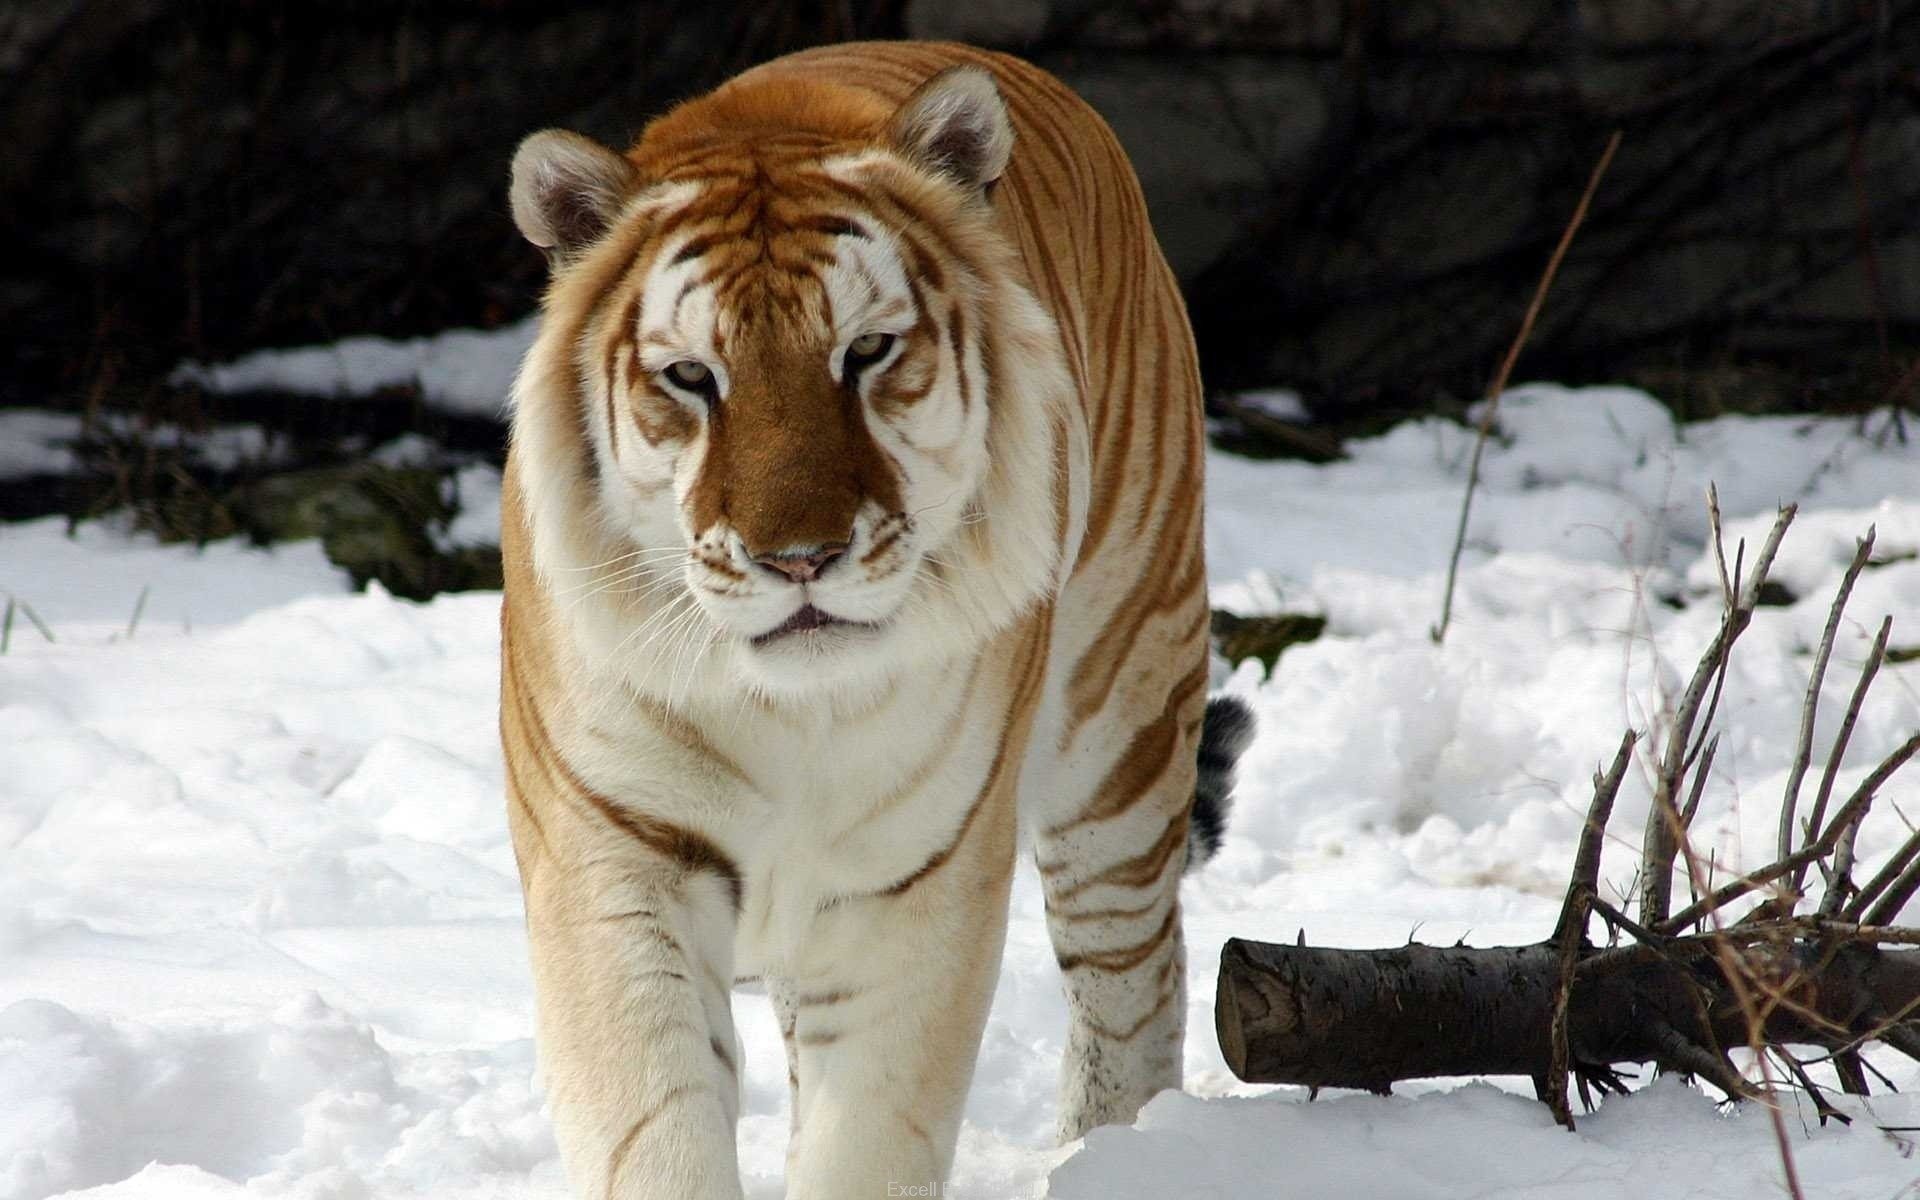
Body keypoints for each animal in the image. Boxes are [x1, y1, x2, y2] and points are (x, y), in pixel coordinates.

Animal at [499, 39, 1253, 1199]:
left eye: (865, 353)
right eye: (692, 376)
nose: (800, 558)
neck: (788, 710)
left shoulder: (917, 878)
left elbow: (869, 1133)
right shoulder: (614, 855)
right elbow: (657, 1124)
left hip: (1122, 719)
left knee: (1135, 974)